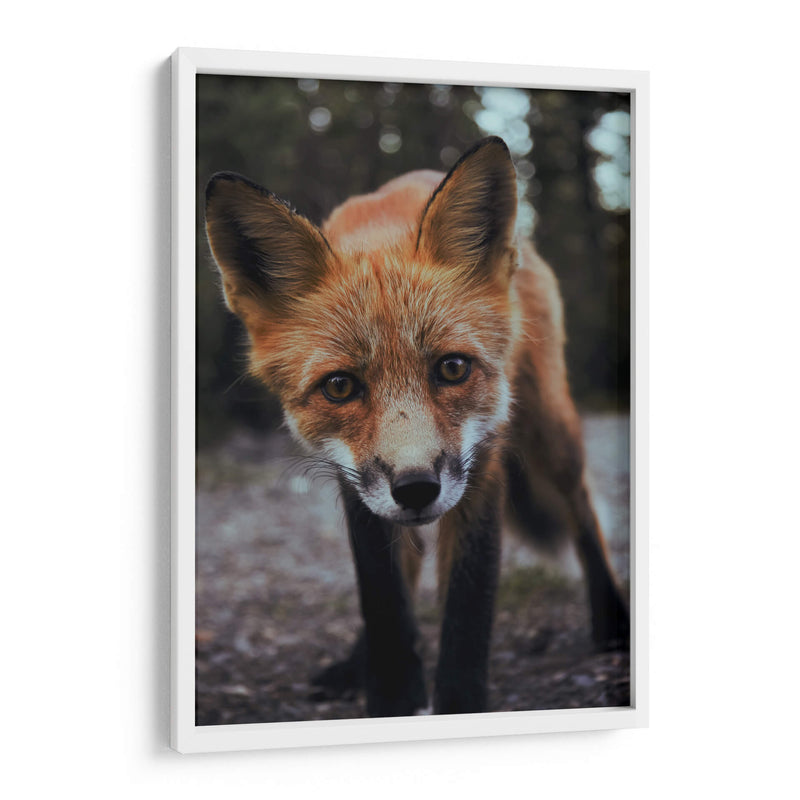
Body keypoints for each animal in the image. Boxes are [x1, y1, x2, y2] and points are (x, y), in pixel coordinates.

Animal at [204, 136, 629, 717]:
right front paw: (391, 695)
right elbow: (383, 597)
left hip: (551, 429)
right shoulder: (354, 481)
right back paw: (354, 663)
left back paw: (613, 620)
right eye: (340, 387)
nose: (416, 489)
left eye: (451, 368)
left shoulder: (482, 463)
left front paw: (458, 703)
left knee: (582, 510)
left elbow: (468, 610)